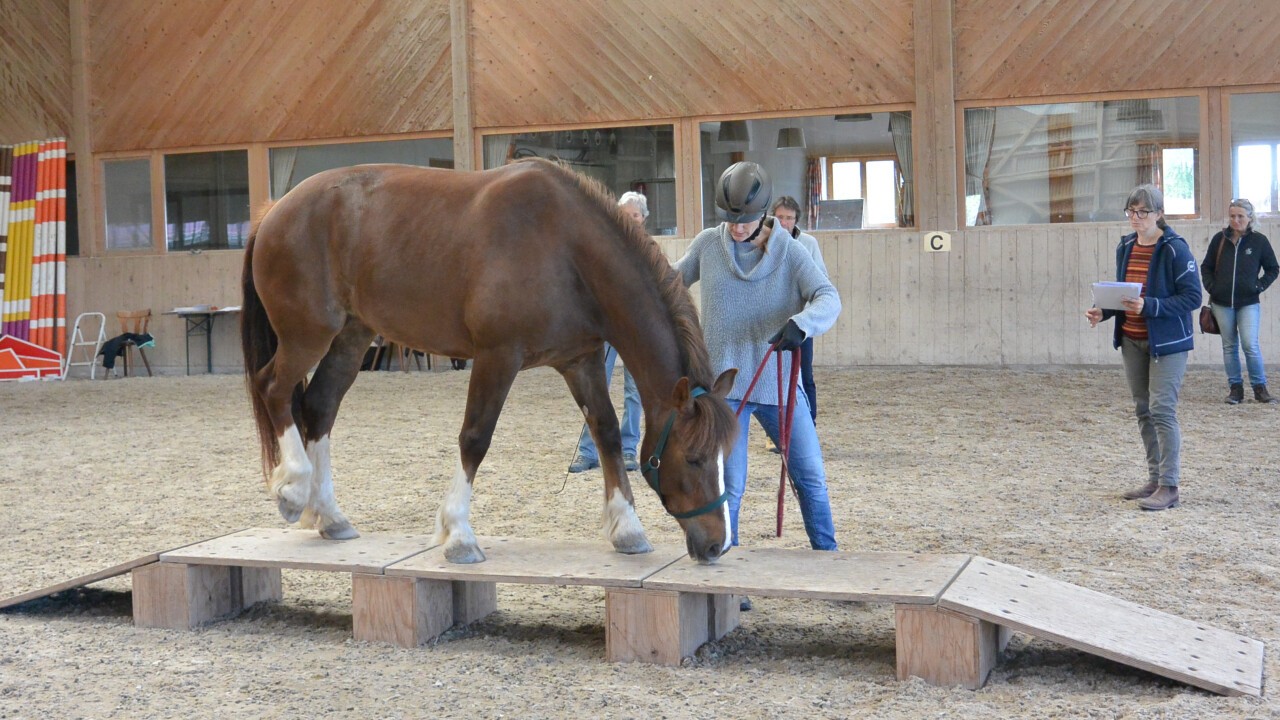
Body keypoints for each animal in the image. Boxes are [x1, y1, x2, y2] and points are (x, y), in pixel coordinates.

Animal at [241, 156, 742, 561]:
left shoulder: (581, 360)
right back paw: (293, 490)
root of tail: (275, 210)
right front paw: (459, 534)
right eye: (695, 459)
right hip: (308, 334)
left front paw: (627, 528)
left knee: (320, 406)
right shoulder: (497, 356)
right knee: (274, 388)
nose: (716, 545)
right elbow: (475, 438)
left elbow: (607, 433)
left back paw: (329, 516)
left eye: (724, 456)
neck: (564, 247)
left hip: (350, 337)